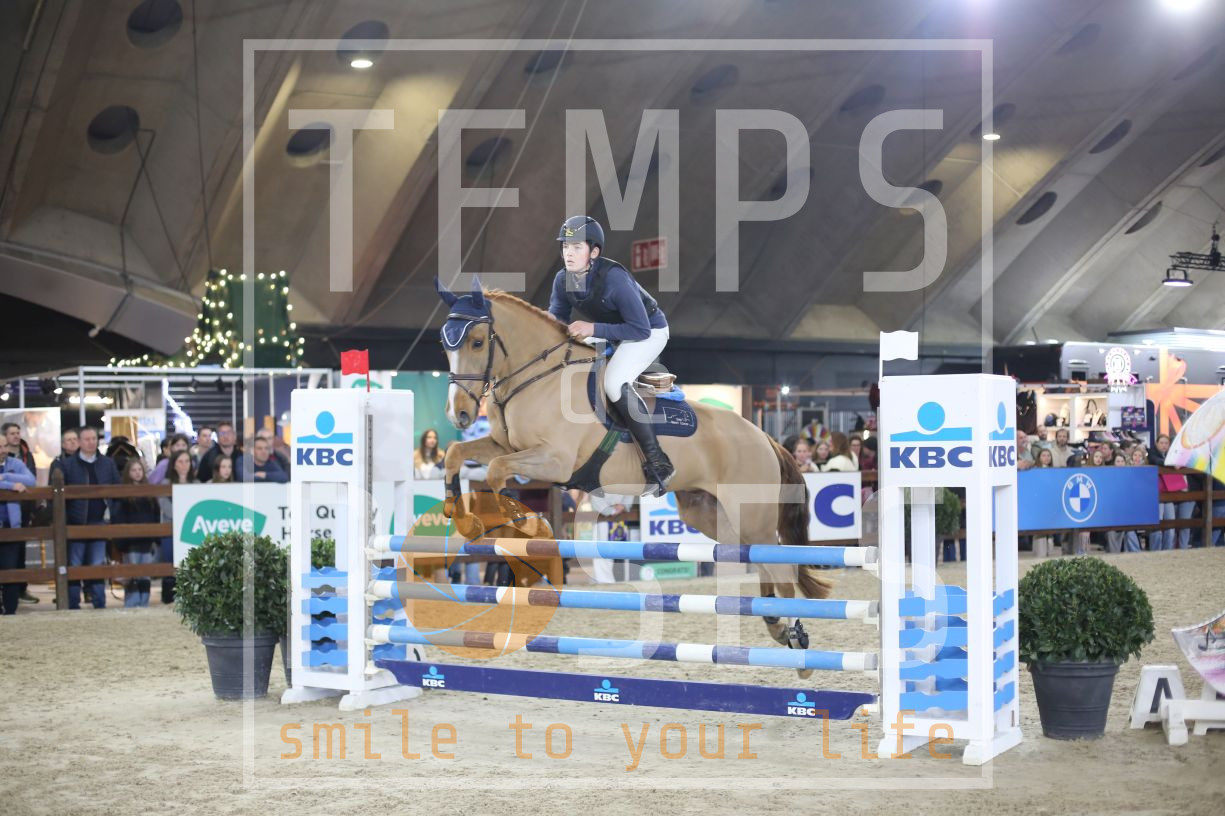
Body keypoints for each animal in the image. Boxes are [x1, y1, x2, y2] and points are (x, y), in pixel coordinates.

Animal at [433, 278, 832, 667]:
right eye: (445, 344)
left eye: (477, 341)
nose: (460, 415)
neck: (537, 378)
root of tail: (764, 436)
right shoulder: (507, 447)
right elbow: (457, 454)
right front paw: (462, 515)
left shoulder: (554, 460)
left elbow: (497, 472)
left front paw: (527, 523)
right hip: (709, 513)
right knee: (758, 559)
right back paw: (775, 625)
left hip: (752, 514)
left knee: (780, 567)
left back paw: (795, 638)